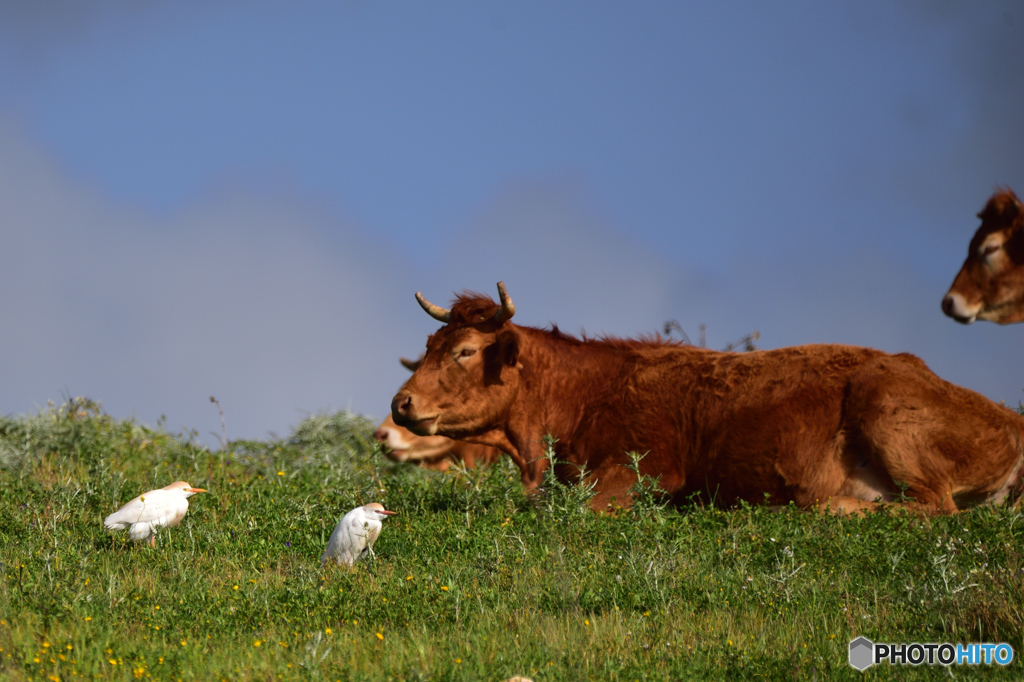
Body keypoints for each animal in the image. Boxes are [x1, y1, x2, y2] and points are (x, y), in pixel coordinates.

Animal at [391, 280, 1024, 509]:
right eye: (428, 344)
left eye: (464, 352)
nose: (400, 405)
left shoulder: (646, 471)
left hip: (887, 414)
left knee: (931, 508)